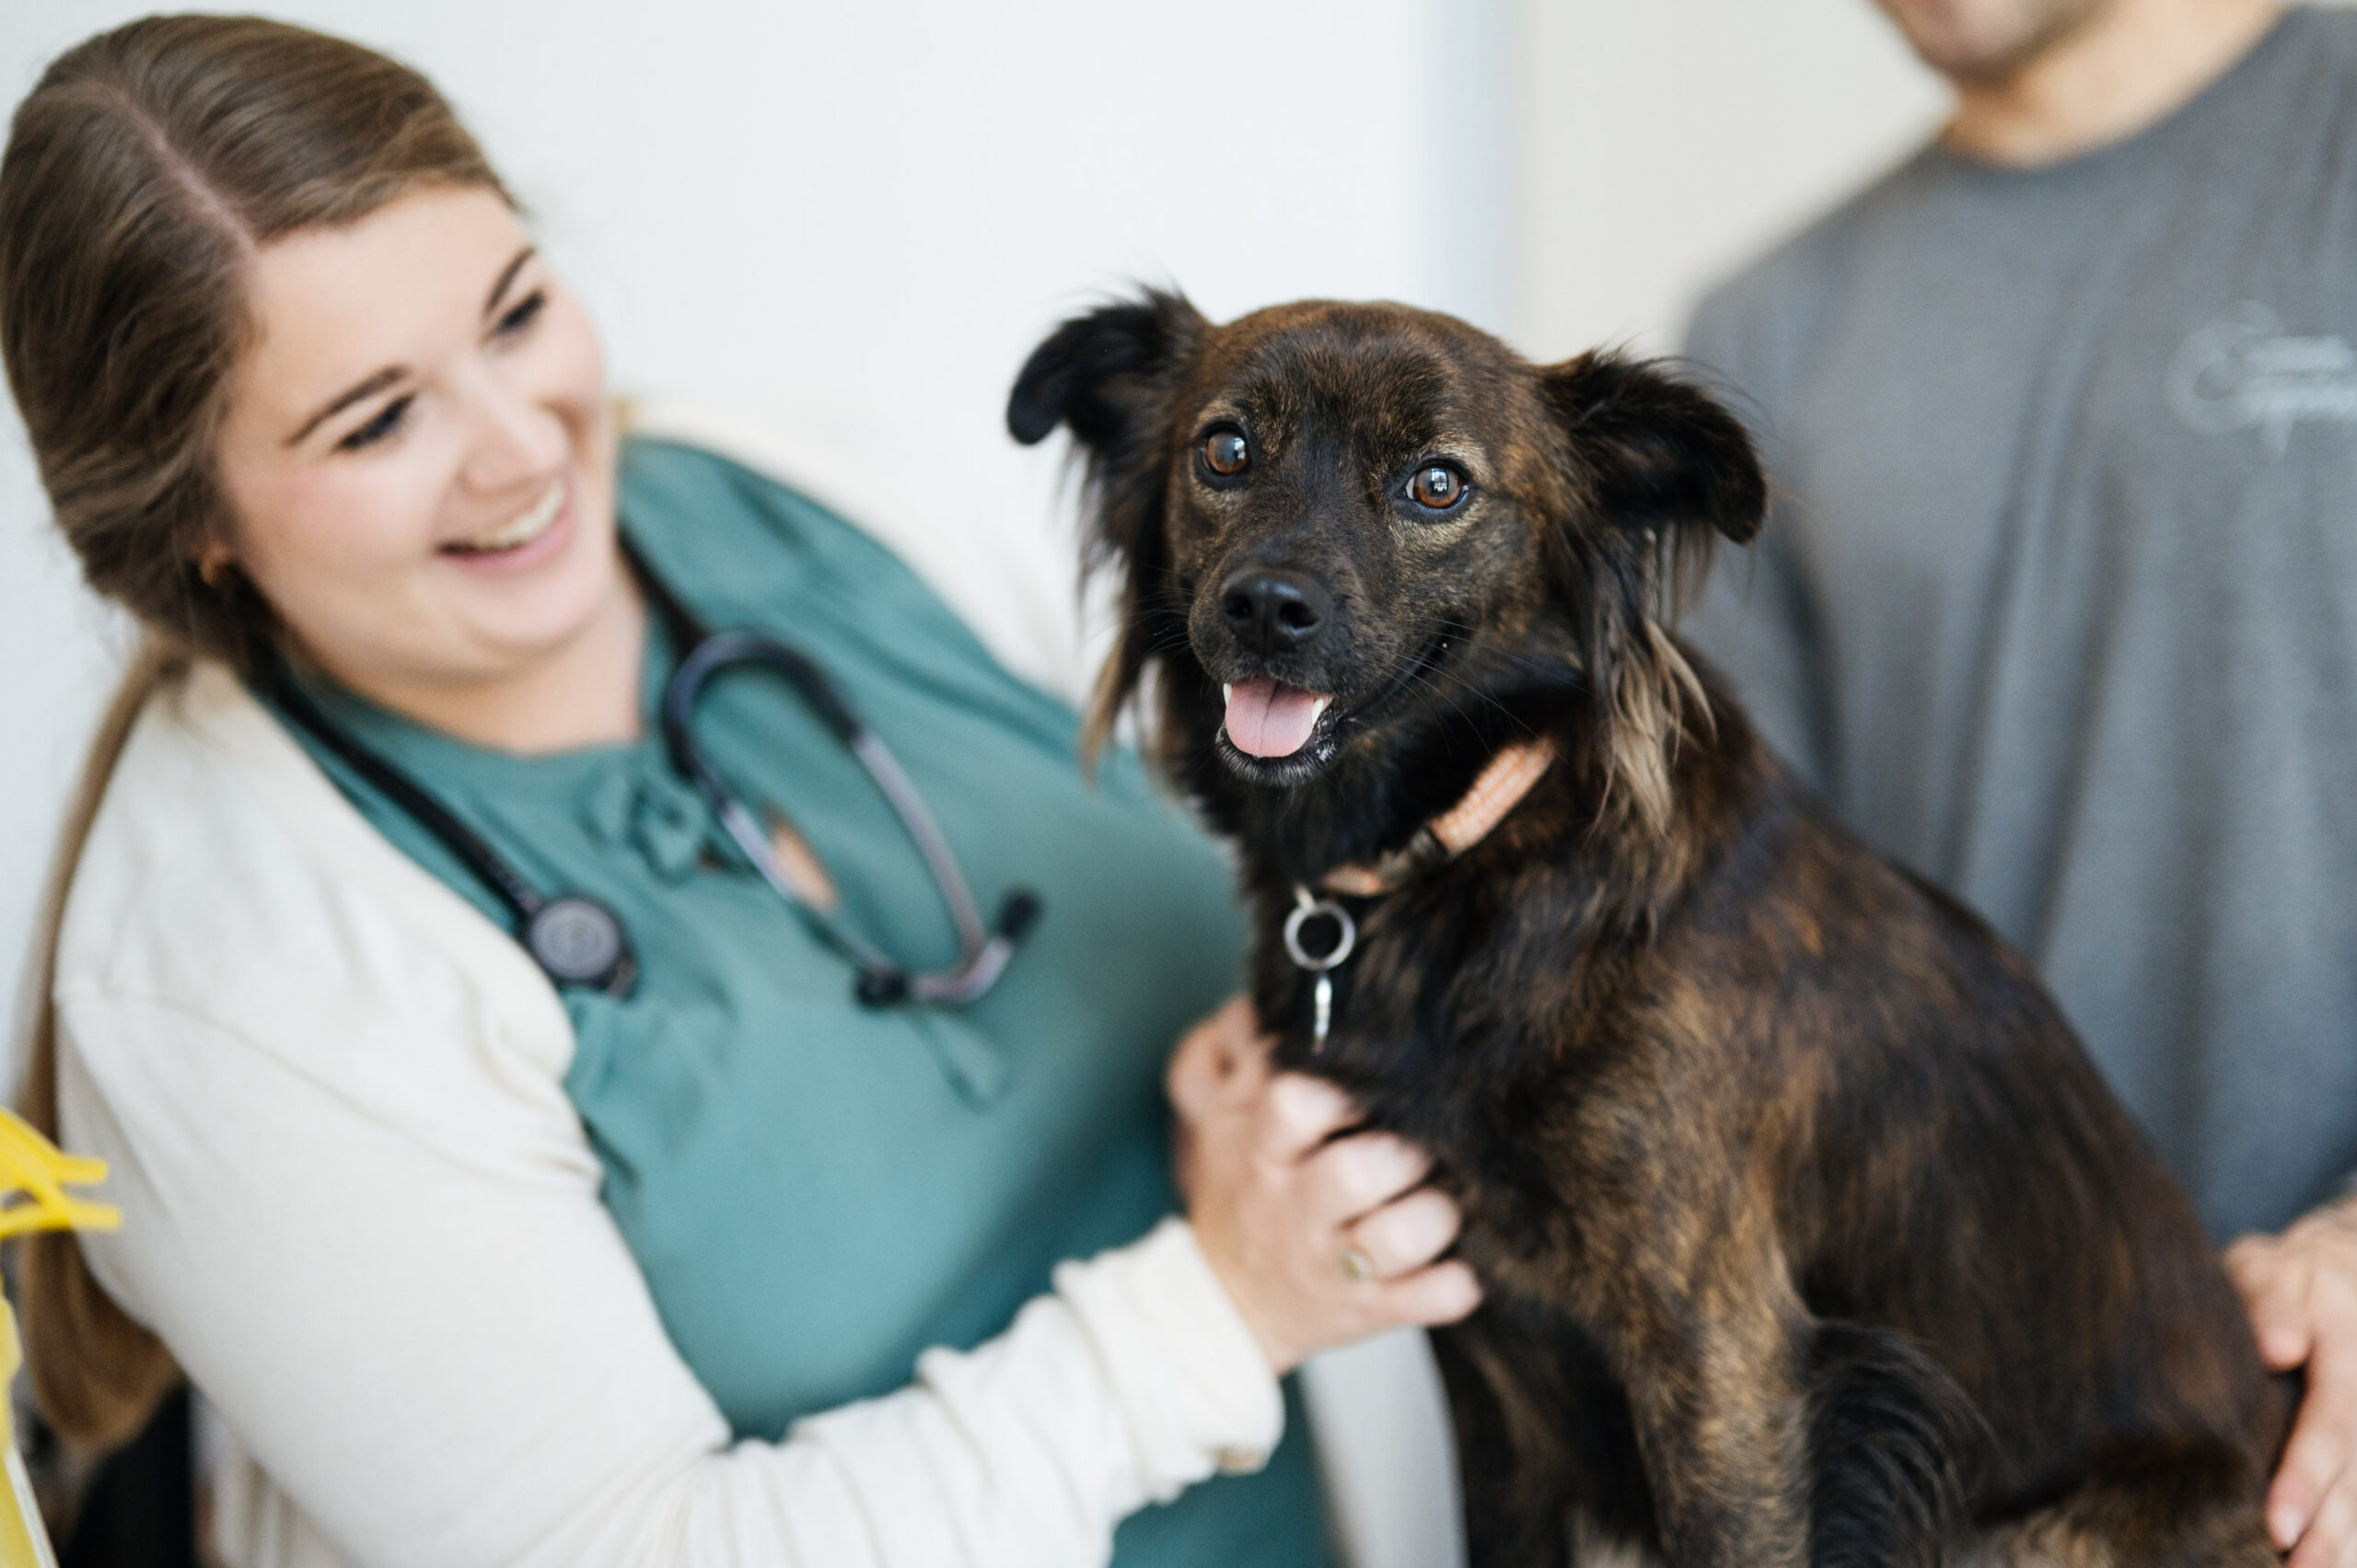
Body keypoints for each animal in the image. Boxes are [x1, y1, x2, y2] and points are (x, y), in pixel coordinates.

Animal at [1008, 287, 2282, 1556]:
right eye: (1224, 451)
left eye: (1436, 483)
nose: (1268, 607)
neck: (1459, 860)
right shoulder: (1485, 1367)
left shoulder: (1721, 1358)